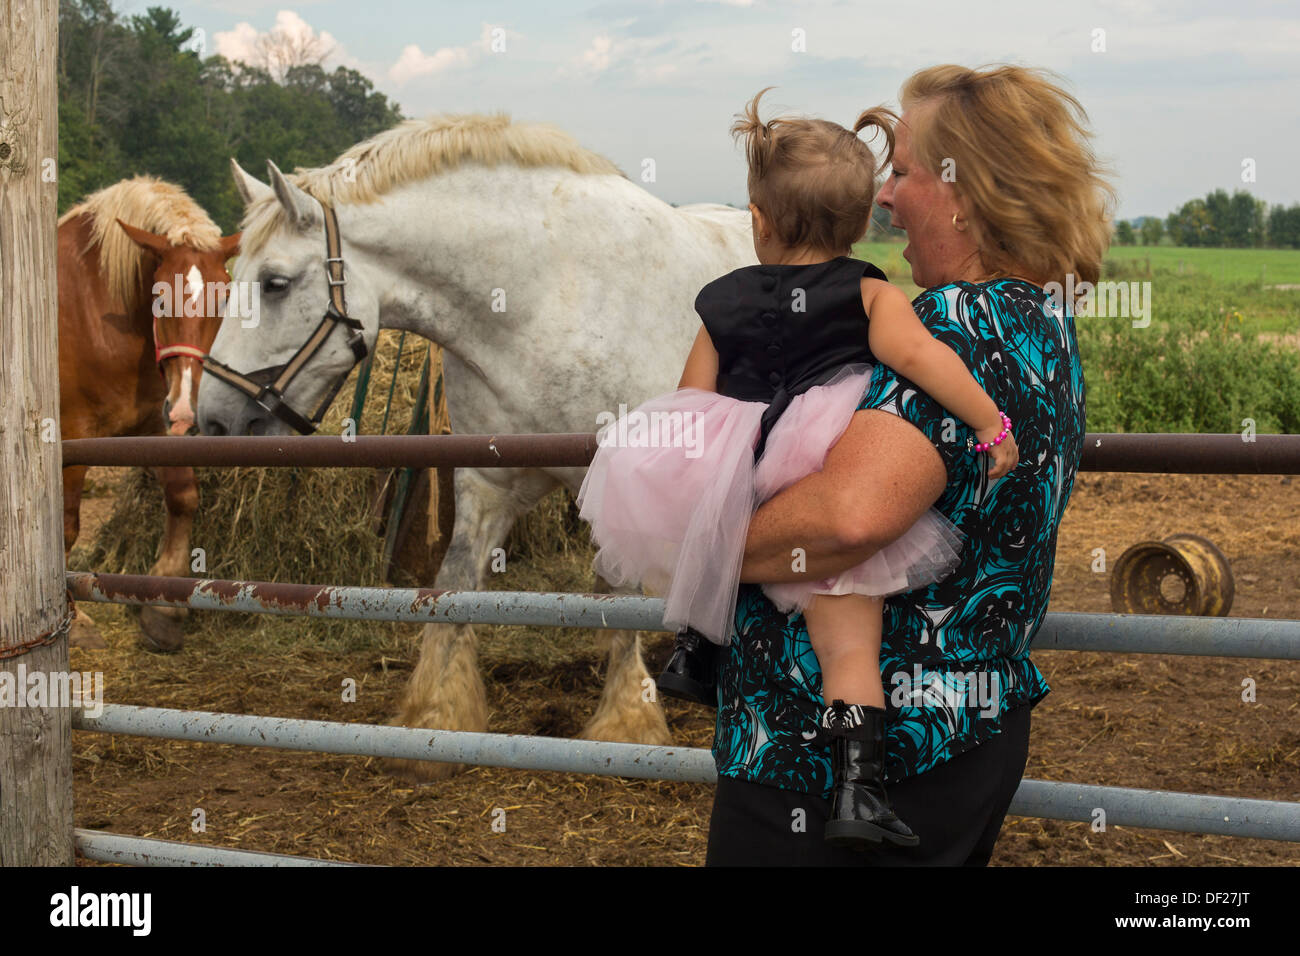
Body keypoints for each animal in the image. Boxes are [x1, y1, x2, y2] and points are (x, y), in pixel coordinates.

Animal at [59, 176, 240, 651]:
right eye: (159, 296)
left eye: (225, 299)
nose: (189, 406)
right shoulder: (70, 436)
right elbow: (65, 525)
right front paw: (73, 619)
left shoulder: (161, 426)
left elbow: (182, 497)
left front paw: (163, 611)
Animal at [195, 113, 755, 779]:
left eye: (275, 283)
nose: (212, 420)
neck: (547, 299)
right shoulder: (488, 483)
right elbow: (455, 581)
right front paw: (434, 717)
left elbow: (620, 598)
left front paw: (627, 723)